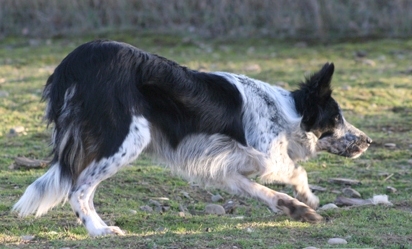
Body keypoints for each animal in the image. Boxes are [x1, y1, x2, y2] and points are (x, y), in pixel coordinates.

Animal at [12, 40, 374, 236]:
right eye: (337, 118)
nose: (368, 141)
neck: (290, 111)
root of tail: (74, 60)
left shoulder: (231, 172)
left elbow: (262, 191)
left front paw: (294, 208)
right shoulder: (268, 156)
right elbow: (298, 170)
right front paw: (308, 199)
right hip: (127, 139)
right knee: (78, 190)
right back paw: (99, 229)